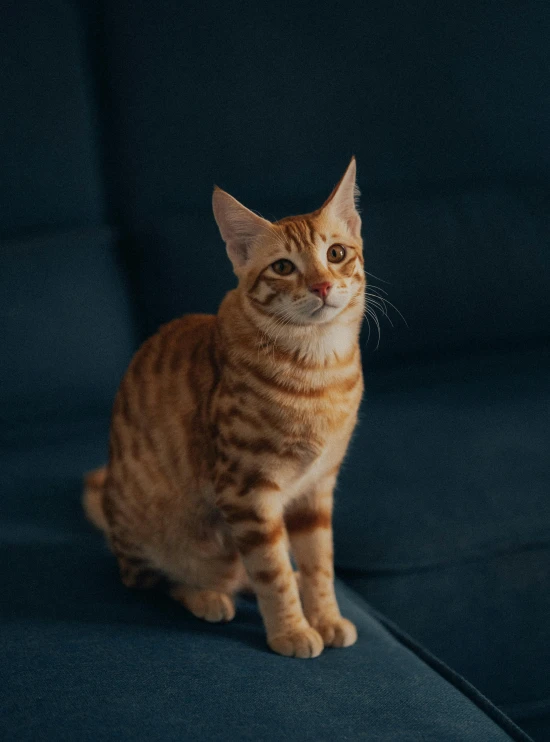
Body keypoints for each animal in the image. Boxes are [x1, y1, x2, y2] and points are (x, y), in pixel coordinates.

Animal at [83, 160, 366, 660]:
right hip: (152, 537)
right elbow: (271, 569)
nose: (323, 285)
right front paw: (291, 630)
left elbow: (320, 564)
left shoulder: (316, 490)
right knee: (161, 580)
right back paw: (208, 595)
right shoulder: (247, 492)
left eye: (335, 254)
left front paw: (325, 616)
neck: (319, 370)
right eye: (283, 267)